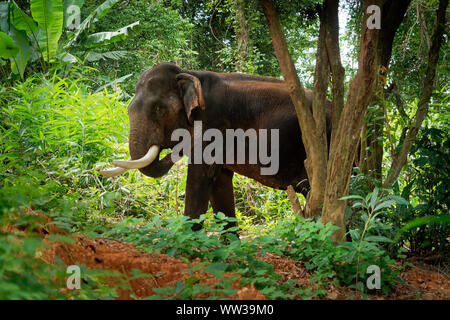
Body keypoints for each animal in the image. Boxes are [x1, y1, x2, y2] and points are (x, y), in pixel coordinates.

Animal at [99, 62, 330, 231]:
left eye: (158, 109)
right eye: (129, 109)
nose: (98, 168)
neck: (191, 74)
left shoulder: (213, 126)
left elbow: (198, 178)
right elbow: (220, 183)